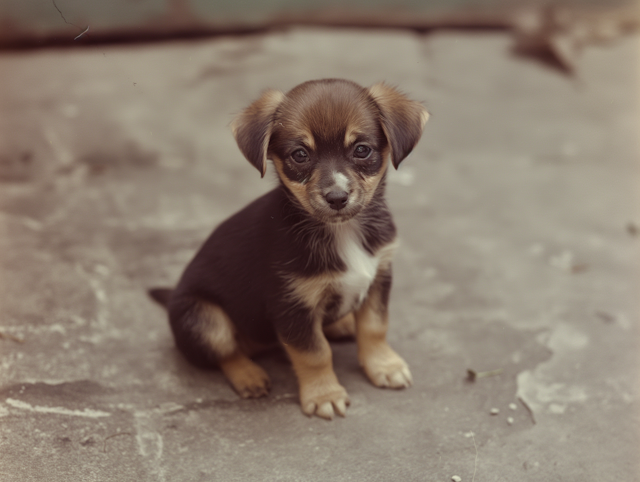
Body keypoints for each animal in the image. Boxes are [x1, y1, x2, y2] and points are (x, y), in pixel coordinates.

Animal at [151, 79, 430, 418]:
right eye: (300, 154)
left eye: (362, 149)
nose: (337, 197)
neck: (342, 231)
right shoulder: (292, 303)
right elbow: (315, 352)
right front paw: (324, 395)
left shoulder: (380, 276)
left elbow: (375, 326)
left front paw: (383, 366)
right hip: (203, 317)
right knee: (225, 352)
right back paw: (248, 376)